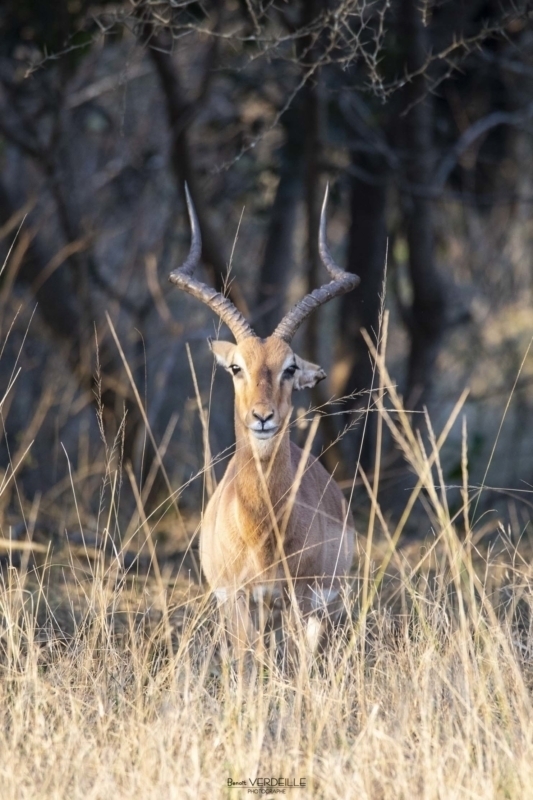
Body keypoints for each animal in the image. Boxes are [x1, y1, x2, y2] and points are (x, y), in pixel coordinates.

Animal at [169, 184, 359, 658]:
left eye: (290, 367)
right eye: (237, 367)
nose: (262, 417)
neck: (262, 532)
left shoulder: (303, 600)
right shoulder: (237, 600)